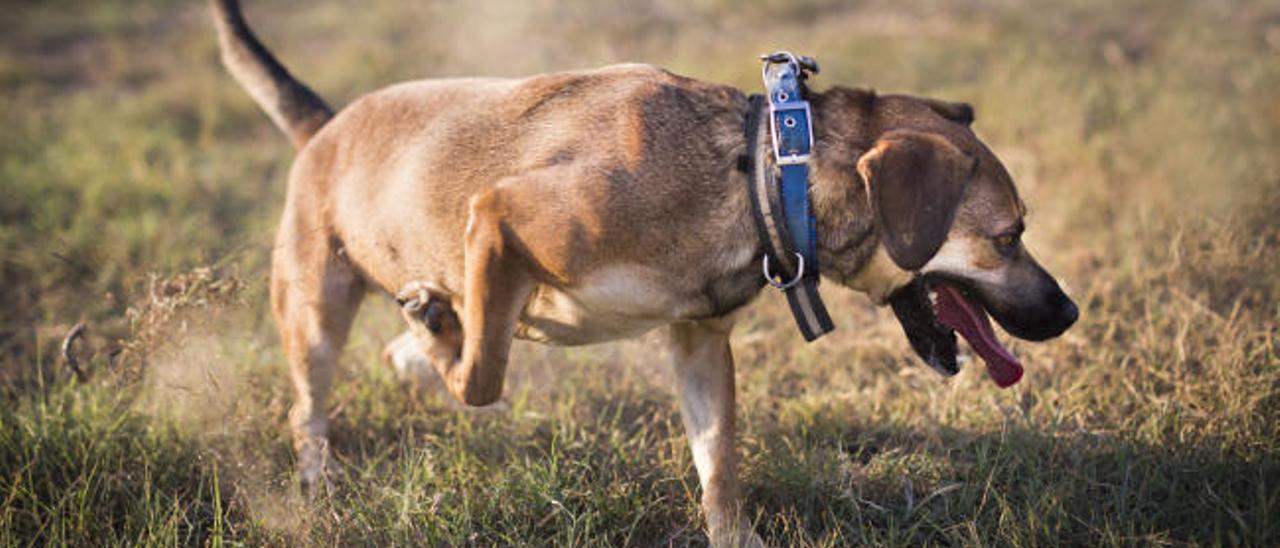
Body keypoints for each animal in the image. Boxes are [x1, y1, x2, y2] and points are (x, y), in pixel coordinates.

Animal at [212, 3, 1080, 542]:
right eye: (1008, 237)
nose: (1069, 314)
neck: (761, 172)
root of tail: (325, 126)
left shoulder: (698, 343)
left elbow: (719, 464)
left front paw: (736, 537)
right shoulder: (499, 215)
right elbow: (483, 379)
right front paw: (446, 344)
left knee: (405, 355)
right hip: (315, 309)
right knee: (310, 409)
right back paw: (331, 467)